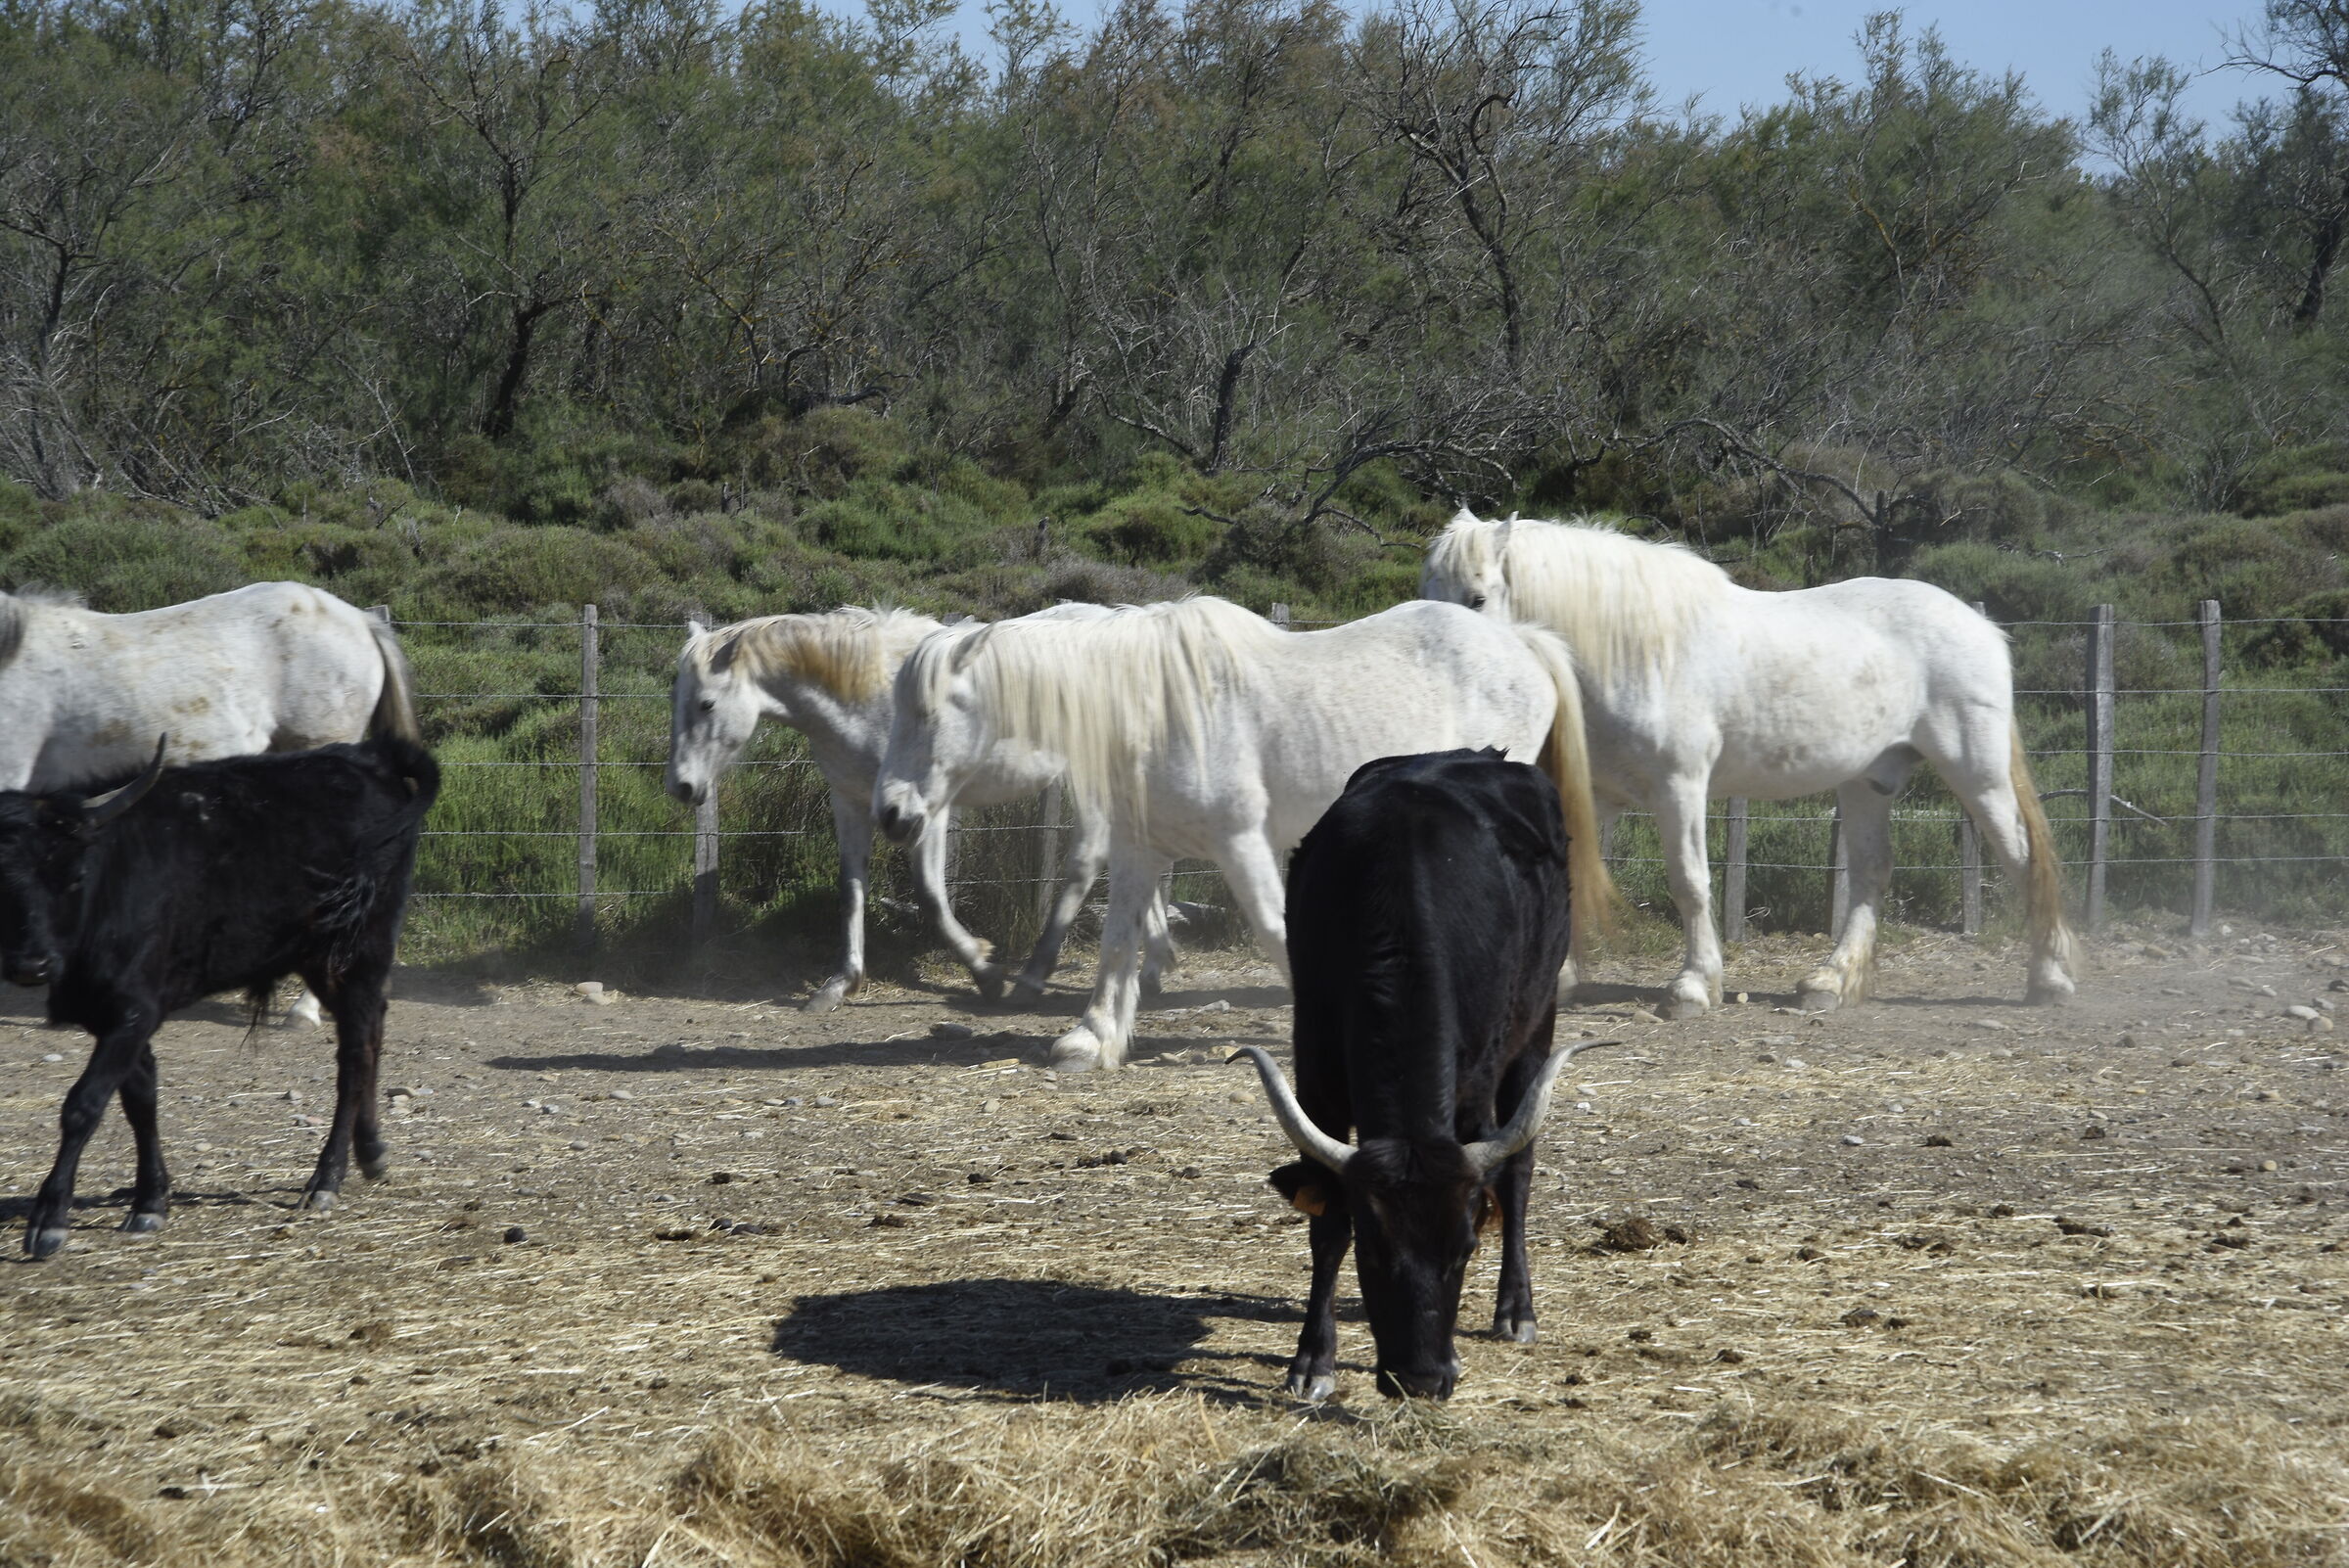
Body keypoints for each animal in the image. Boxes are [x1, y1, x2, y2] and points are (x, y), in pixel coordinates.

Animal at [664, 606, 1174, 1013]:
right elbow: (852, 890)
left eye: (706, 703)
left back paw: (1037, 977)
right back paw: (1154, 966)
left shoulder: (928, 811)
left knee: (1089, 862)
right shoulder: (851, 802)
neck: (868, 699)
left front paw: (985, 972)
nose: (681, 786)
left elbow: (930, 896)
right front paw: (840, 984)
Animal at [874, 596, 1610, 1071]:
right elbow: (1117, 944)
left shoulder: (1240, 841)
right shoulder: (1139, 850)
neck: (1155, 706)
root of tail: (1524, 642)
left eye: (929, 712)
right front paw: (1094, 1040)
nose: (892, 814)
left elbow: (1274, 932)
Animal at [1420, 511, 2075, 1017]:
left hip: (1976, 772)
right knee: (1871, 873)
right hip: (1869, 780)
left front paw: (1693, 987)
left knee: (2022, 858)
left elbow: (1689, 882)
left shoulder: (1679, 787)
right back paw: (1829, 983)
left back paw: (2051, 978)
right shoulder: (1599, 797)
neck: (1635, 652)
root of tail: (1981, 624)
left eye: (1477, 597)